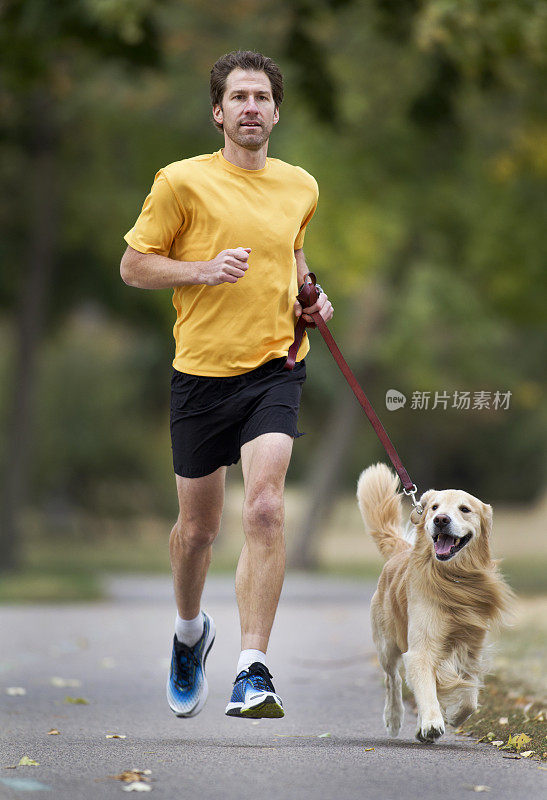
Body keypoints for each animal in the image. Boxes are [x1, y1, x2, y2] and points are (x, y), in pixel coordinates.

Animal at [356, 462, 512, 744]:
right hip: (386, 644)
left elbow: (470, 696)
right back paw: (394, 718)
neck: (453, 580)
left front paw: (454, 716)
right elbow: (426, 687)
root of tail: (400, 551)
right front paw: (432, 722)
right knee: (392, 679)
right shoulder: (421, 648)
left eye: (465, 509)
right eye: (434, 507)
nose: (440, 520)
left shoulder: (471, 647)